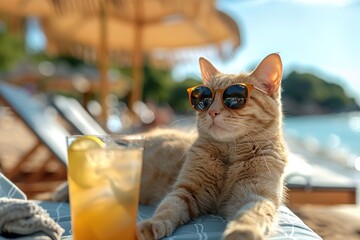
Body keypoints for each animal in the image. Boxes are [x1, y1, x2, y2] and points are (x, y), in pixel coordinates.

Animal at [136, 53, 288, 240]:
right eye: (205, 99)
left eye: (235, 99)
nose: (212, 112)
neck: (230, 156)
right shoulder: (186, 190)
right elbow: (168, 207)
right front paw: (152, 224)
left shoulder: (255, 195)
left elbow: (251, 216)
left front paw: (241, 232)